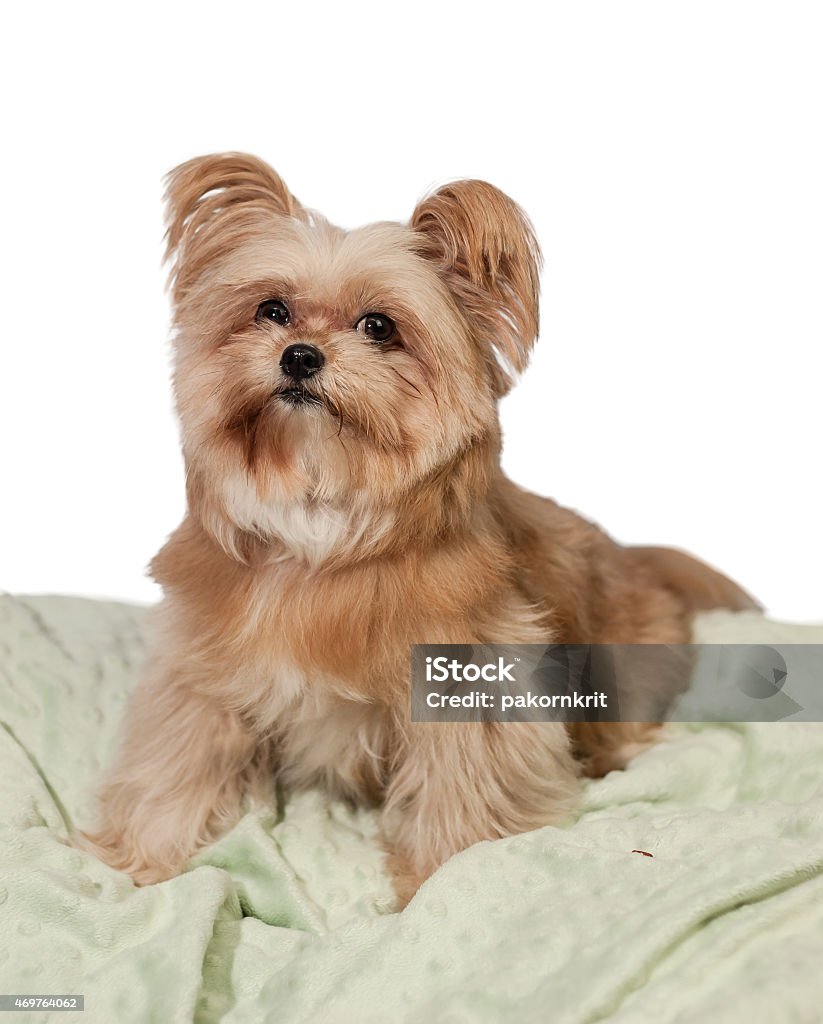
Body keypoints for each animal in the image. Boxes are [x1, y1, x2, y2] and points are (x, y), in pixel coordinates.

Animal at [78, 151, 757, 905]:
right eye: (271, 310)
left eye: (378, 326)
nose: (299, 355)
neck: (325, 527)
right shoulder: (202, 676)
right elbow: (175, 765)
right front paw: (140, 859)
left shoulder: (469, 686)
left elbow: (460, 793)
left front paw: (442, 882)